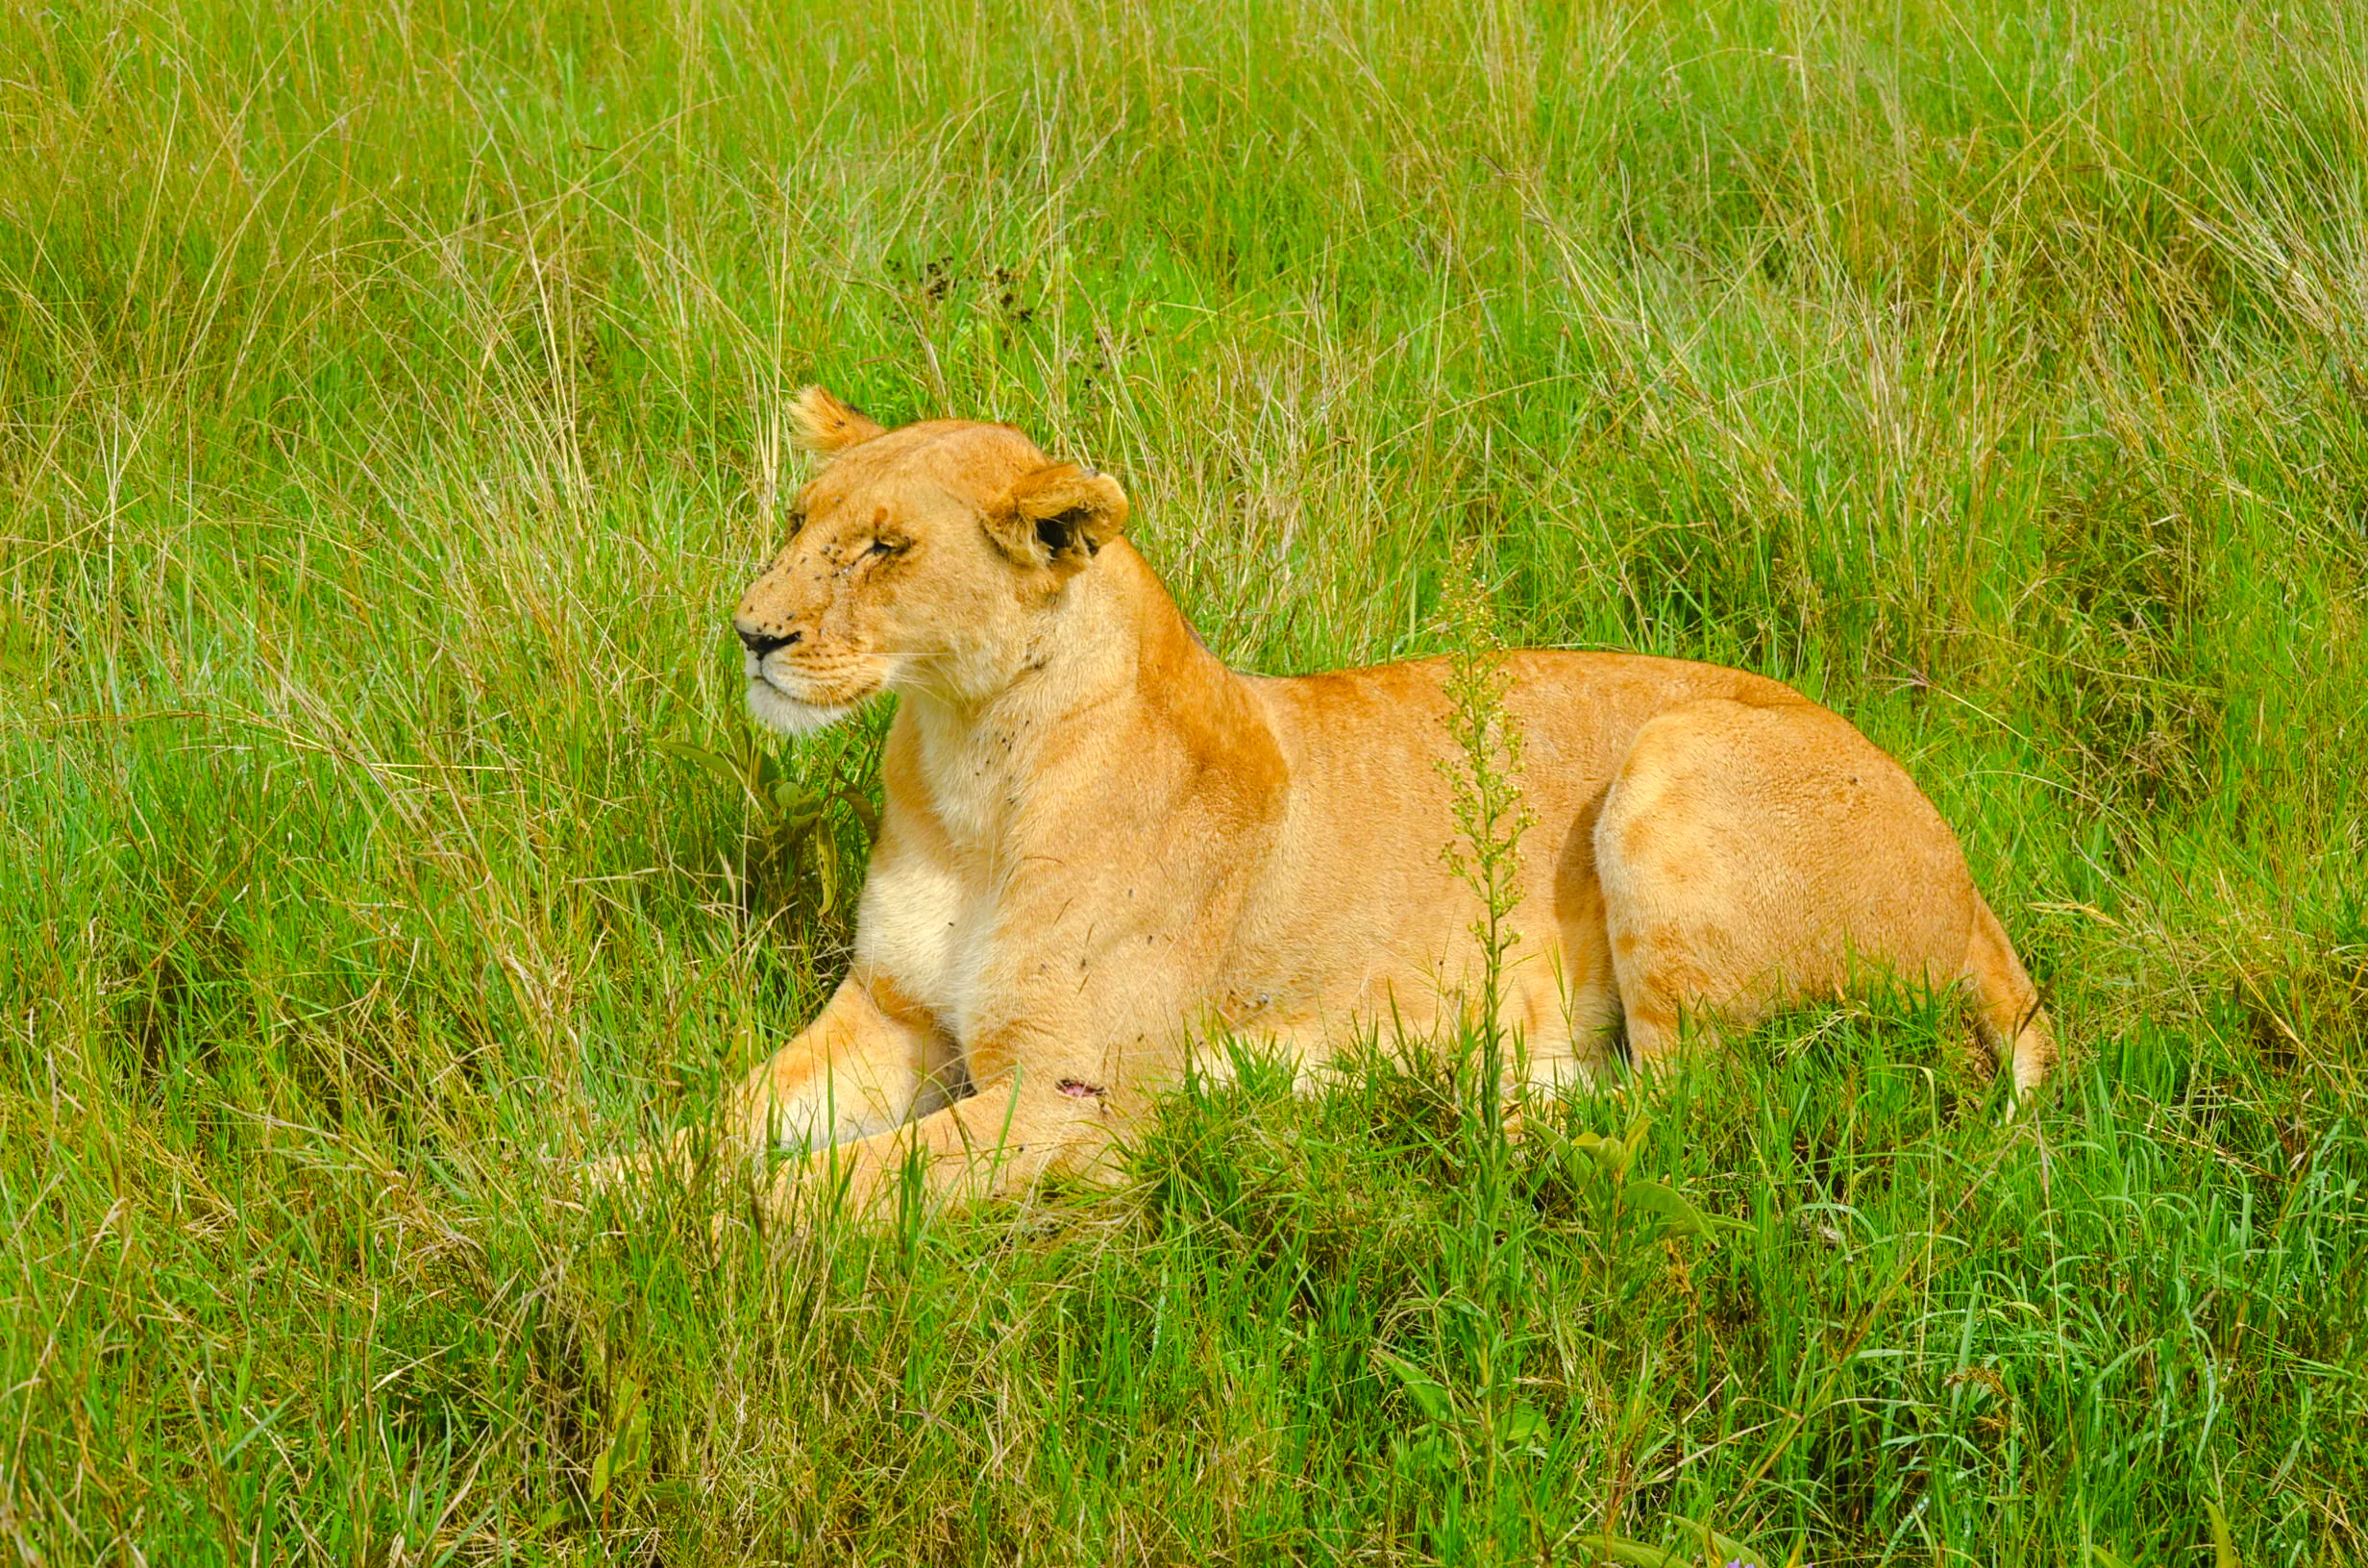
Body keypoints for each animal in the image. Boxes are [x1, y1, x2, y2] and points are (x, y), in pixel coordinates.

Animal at [615, 386, 2052, 1215]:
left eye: (886, 548)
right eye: (795, 519)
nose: (750, 636)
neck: (971, 762)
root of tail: (1977, 890)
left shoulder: (1076, 1098)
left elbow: (831, 1186)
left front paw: (684, 1245)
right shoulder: (889, 1015)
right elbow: (726, 1126)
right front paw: (595, 1189)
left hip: (1672, 760)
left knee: (1693, 1110)